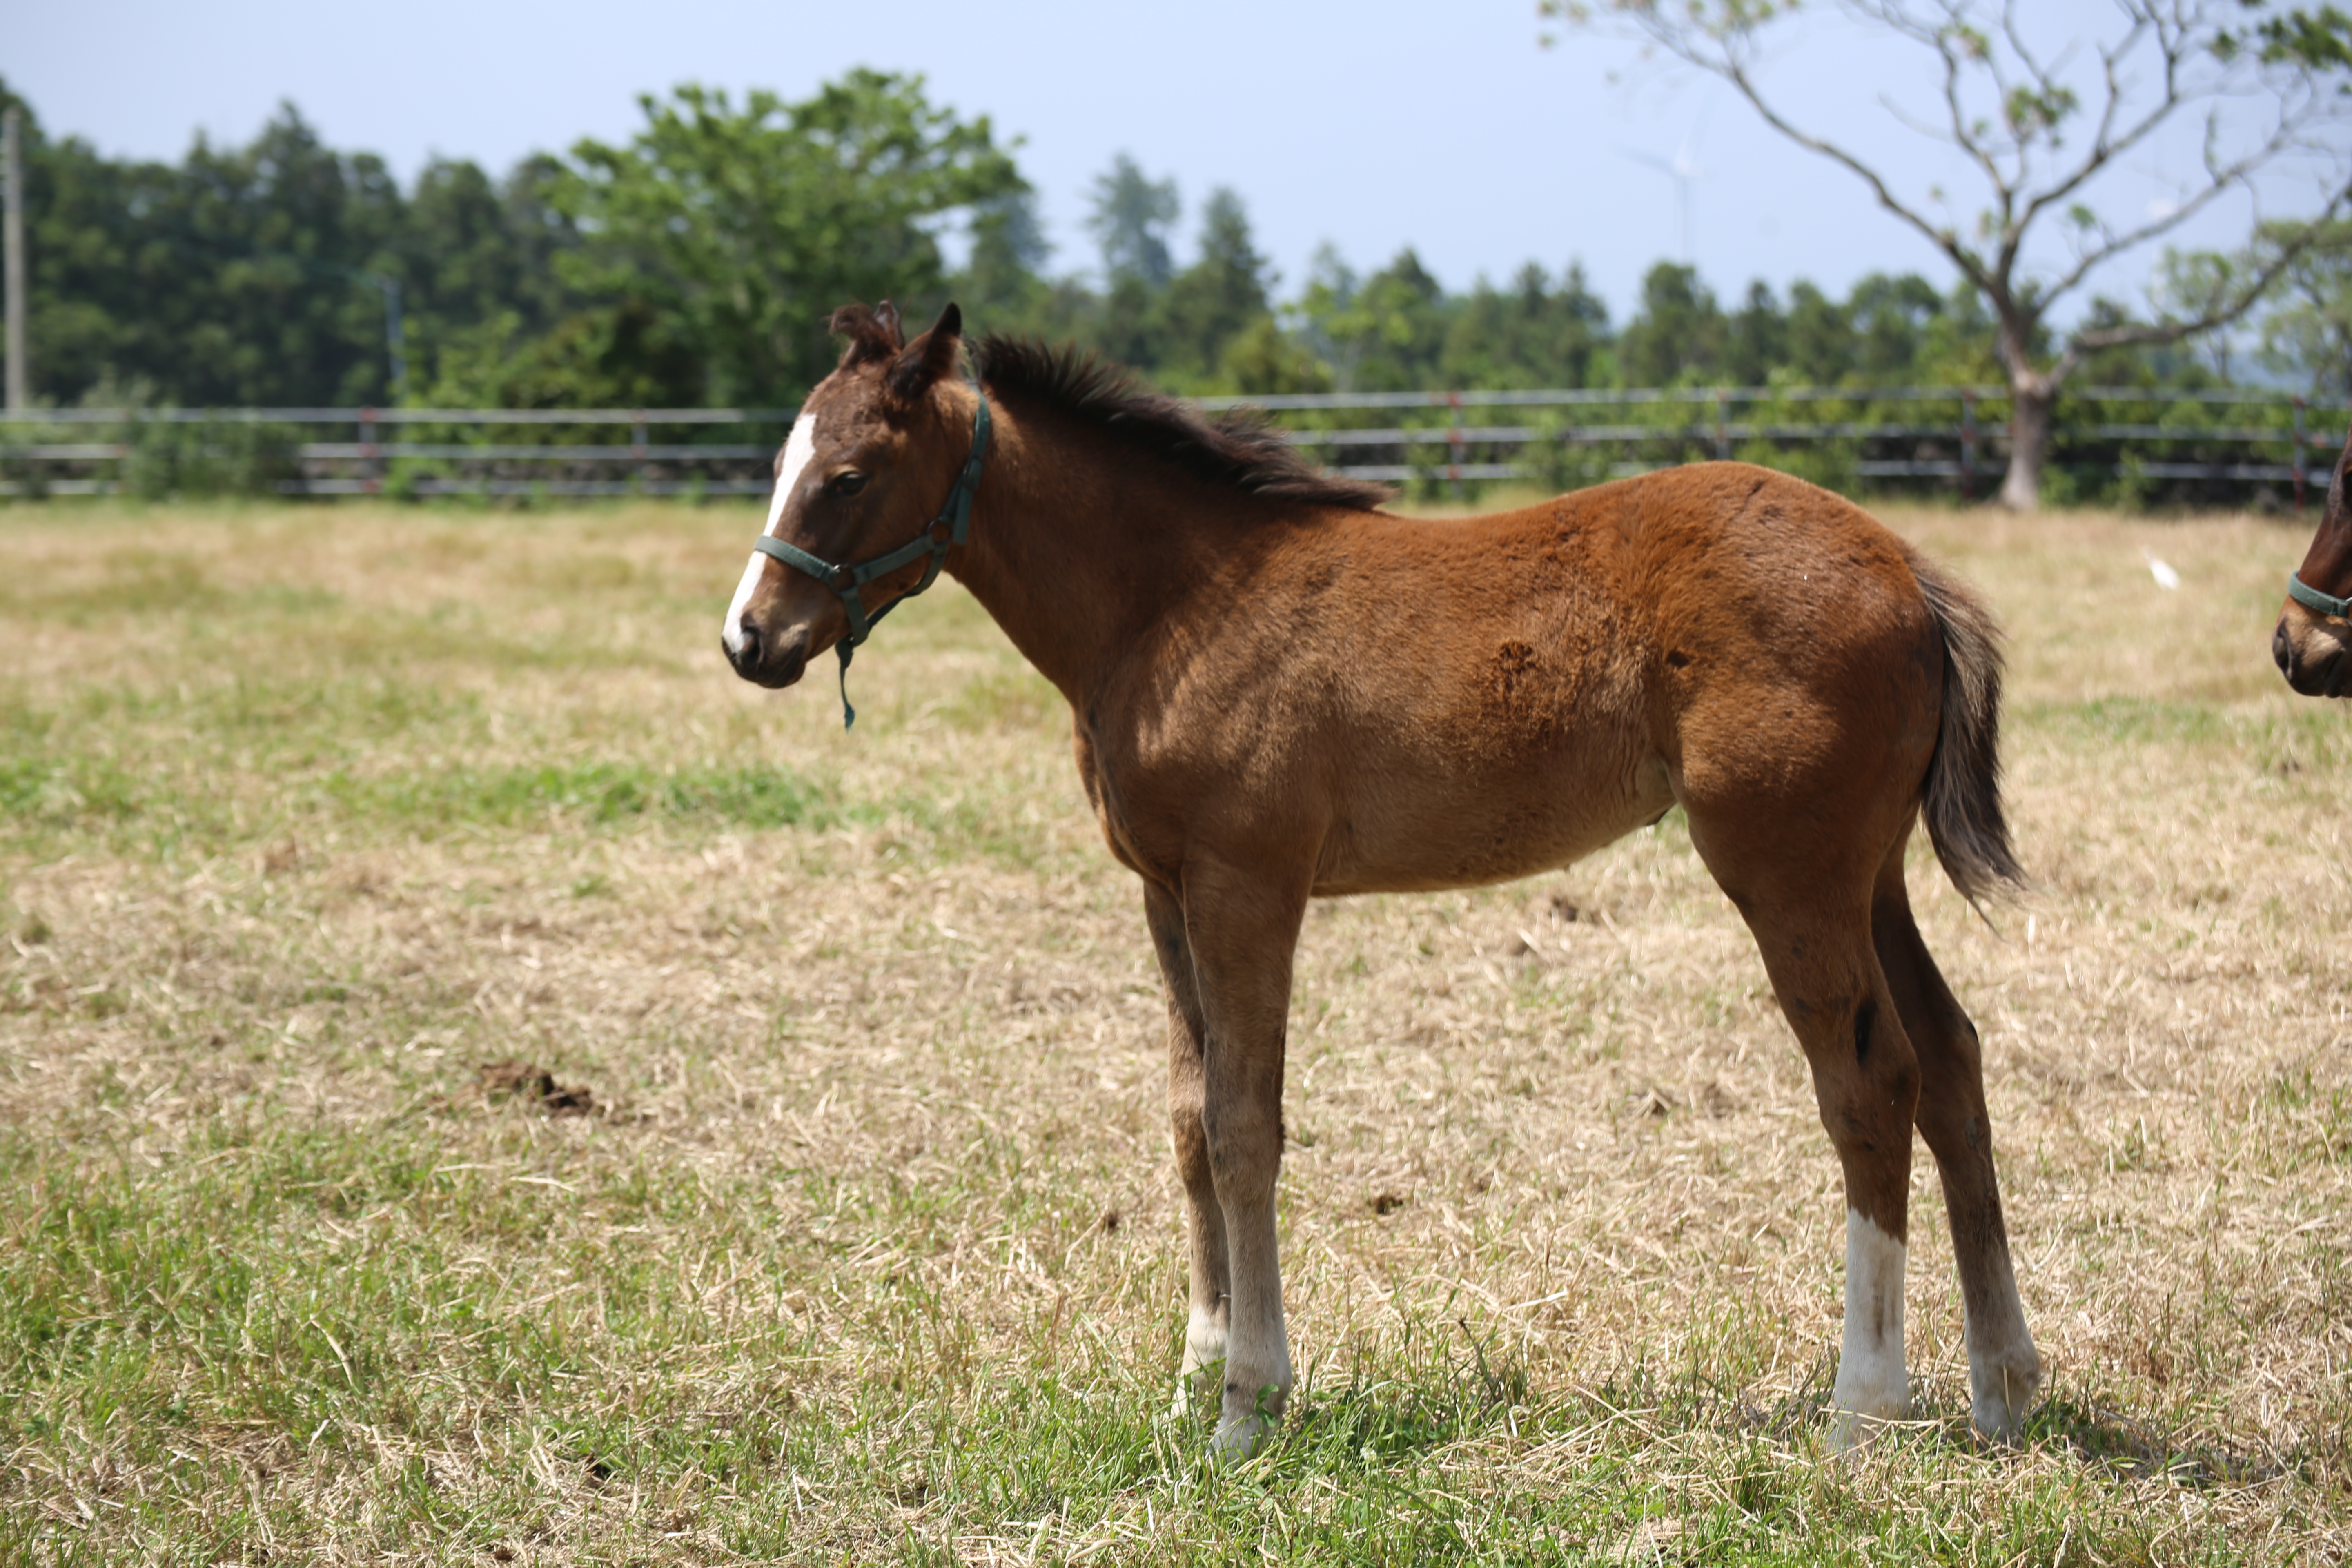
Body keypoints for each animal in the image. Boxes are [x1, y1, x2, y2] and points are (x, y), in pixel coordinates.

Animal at [724, 303, 2051, 1457]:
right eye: (784, 458)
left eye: (848, 475)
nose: (749, 640)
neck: (1172, 605)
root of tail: (1908, 570)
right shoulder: (1164, 890)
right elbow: (1187, 1117)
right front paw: (1195, 1368)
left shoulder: (1247, 885)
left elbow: (1243, 1122)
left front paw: (1249, 1401)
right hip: (1865, 875)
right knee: (1949, 1058)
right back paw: (2003, 1385)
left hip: (1785, 871)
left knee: (1868, 1082)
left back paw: (1863, 1404)